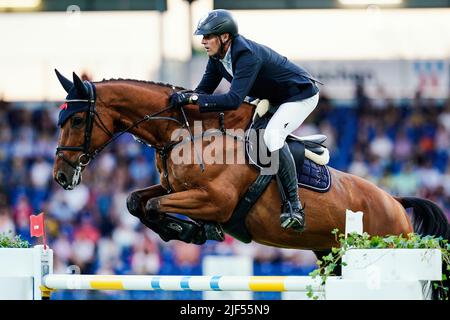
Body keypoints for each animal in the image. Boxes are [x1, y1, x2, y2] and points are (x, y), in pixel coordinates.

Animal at [53, 70, 450, 298]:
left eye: (76, 120)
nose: (61, 175)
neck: (189, 133)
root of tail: (396, 204)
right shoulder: (174, 189)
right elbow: (136, 201)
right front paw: (184, 231)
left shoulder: (214, 200)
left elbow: (152, 205)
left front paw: (194, 231)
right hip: (332, 257)